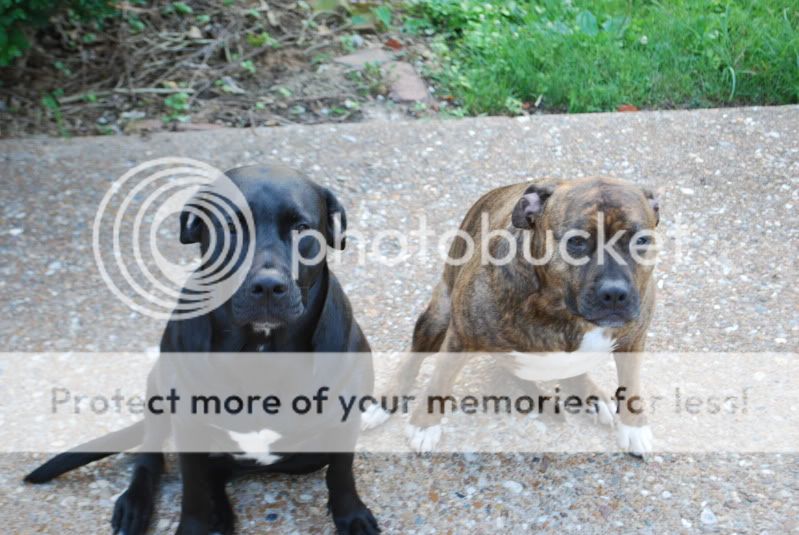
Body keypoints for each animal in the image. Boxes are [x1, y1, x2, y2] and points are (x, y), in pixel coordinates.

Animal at [25, 165, 382, 532]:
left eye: (301, 229)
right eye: (230, 227)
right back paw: (138, 504)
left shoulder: (343, 423)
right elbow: (192, 492)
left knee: (220, 470)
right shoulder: (187, 423)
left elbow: (341, 476)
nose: (268, 286)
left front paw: (351, 516)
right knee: (152, 456)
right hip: (157, 388)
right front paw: (194, 525)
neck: (261, 348)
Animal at [366, 176, 660, 456]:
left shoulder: (634, 341)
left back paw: (593, 396)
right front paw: (424, 425)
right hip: (438, 316)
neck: (564, 312)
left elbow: (631, 384)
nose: (615, 293)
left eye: (641, 240)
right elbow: (439, 381)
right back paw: (383, 403)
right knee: (411, 361)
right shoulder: (459, 339)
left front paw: (634, 426)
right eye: (576, 242)